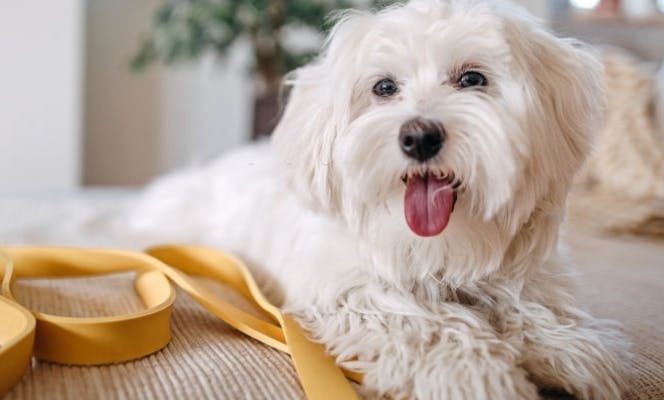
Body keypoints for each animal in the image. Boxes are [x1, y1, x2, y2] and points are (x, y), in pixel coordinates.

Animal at [126, 0, 632, 398]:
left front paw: (570, 348)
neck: (443, 249)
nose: (419, 136)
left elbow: (534, 305)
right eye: (384, 88)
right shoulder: (351, 292)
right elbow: (427, 327)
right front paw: (477, 375)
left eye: (472, 78)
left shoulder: (529, 275)